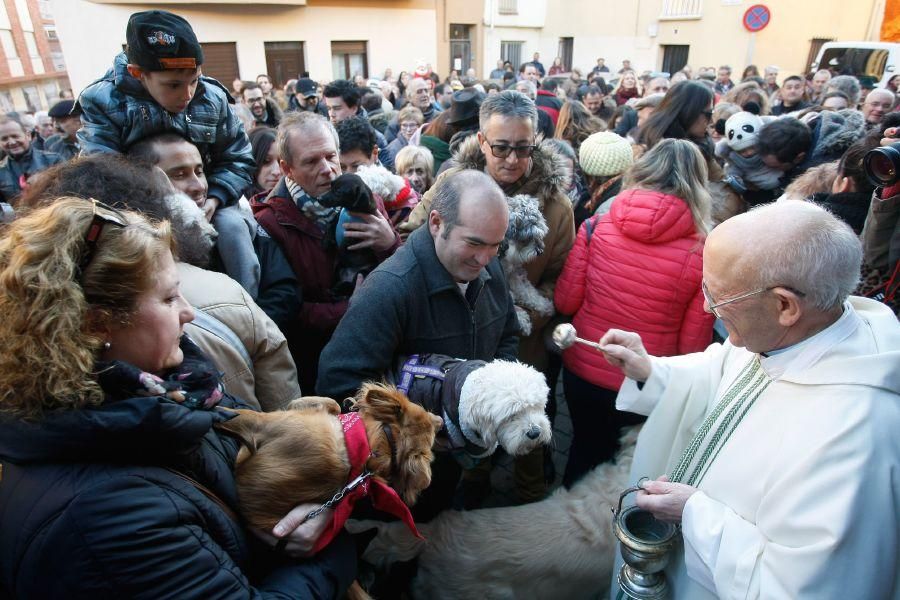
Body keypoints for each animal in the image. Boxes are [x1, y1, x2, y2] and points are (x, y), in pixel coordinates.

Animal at [502, 195, 552, 336]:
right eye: (527, 238)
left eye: (541, 231)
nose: (540, 251)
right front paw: (523, 322)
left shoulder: (514, 275)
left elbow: (528, 292)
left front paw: (544, 305)